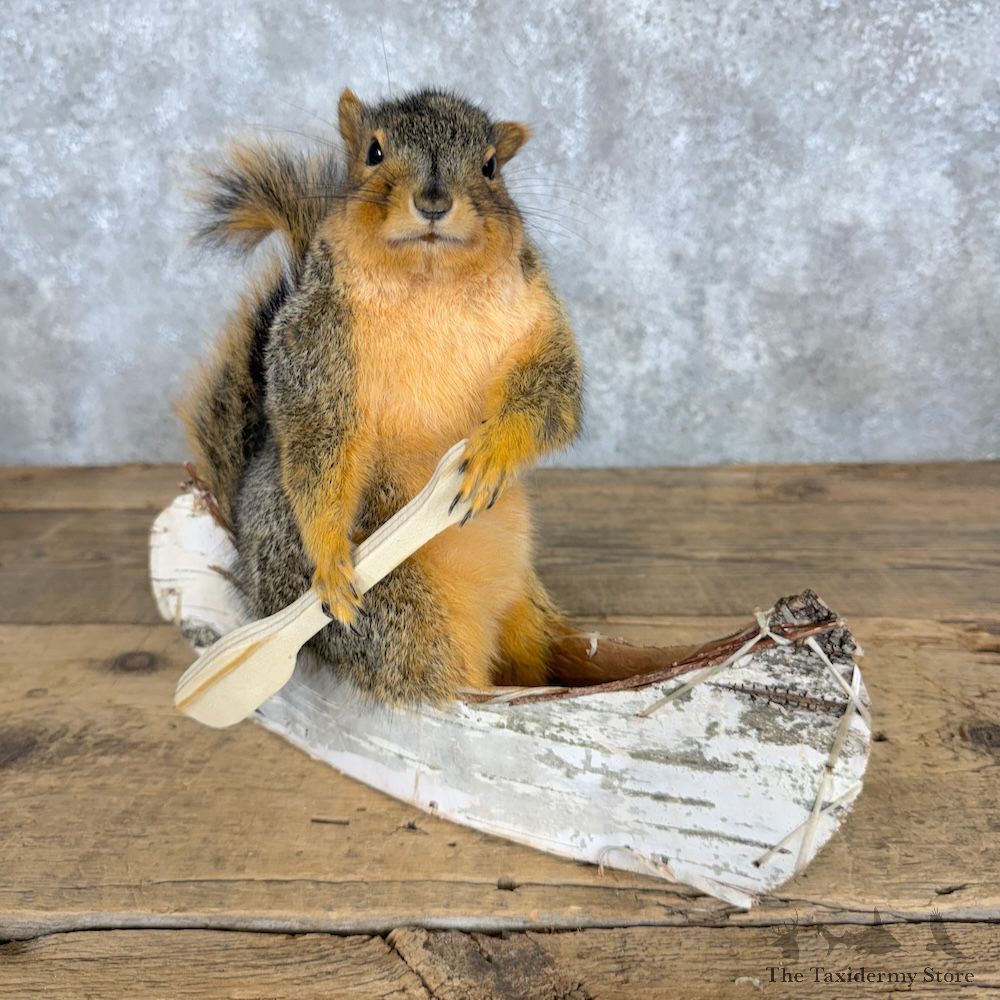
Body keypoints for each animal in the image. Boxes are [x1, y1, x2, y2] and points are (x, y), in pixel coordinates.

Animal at [180, 87, 584, 704]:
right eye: (373, 152)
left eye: (491, 166)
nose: (434, 201)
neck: (430, 282)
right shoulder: (316, 351)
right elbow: (320, 441)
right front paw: (329, 558)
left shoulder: (541, 322)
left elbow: (555, 394)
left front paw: (493, 453)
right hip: (401, 615)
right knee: (439, 681)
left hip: (523, 607)